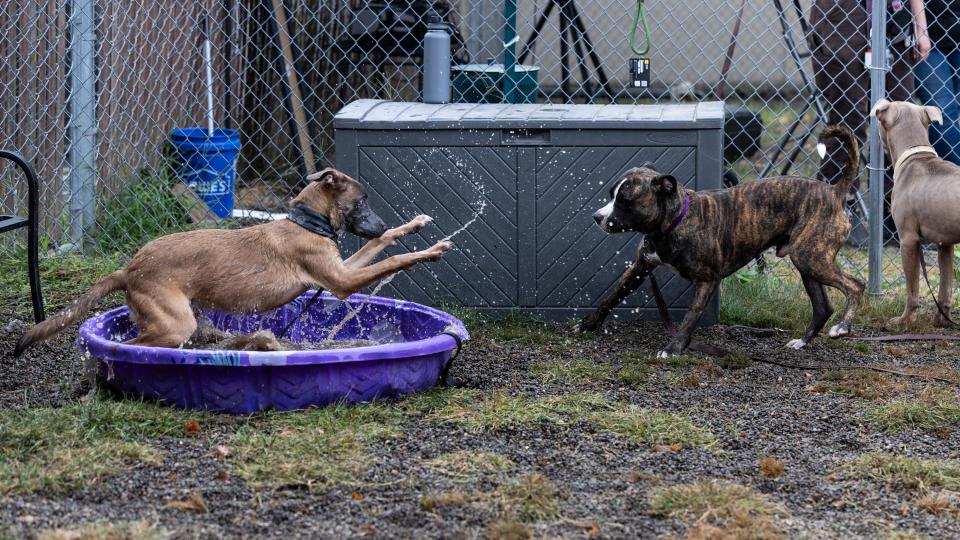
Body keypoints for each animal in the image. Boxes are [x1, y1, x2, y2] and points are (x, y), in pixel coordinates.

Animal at [14, 169, 450, 354]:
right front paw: (427, 252)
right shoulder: (340, 282)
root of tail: (130, 268)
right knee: (130, 347)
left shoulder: (340, 273)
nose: (378, 225)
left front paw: (414, 225)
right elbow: (394, 259)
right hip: (174, 323)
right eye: (361, 201)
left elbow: (387, 247)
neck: (306, 222)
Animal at [580, 124, 868, 356]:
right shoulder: (640, 268)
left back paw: (842, 327)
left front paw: (674, 348)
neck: (673, 222)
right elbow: (612, 295)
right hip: (807, 263)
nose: (596, 217)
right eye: (611, 194)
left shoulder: (707, 280)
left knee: (855, 285)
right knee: (822, 307)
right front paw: (590, 323)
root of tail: (835, 191)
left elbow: (690, 317)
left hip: (812, 258)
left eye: (625, 201)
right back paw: (803, 341)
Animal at [872, 98, 956, 326]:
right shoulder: (945, 244)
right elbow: (945, 288)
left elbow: (912, 289)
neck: (916, 155)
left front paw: (904, 320)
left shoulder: (908, 240)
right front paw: (942, 320)